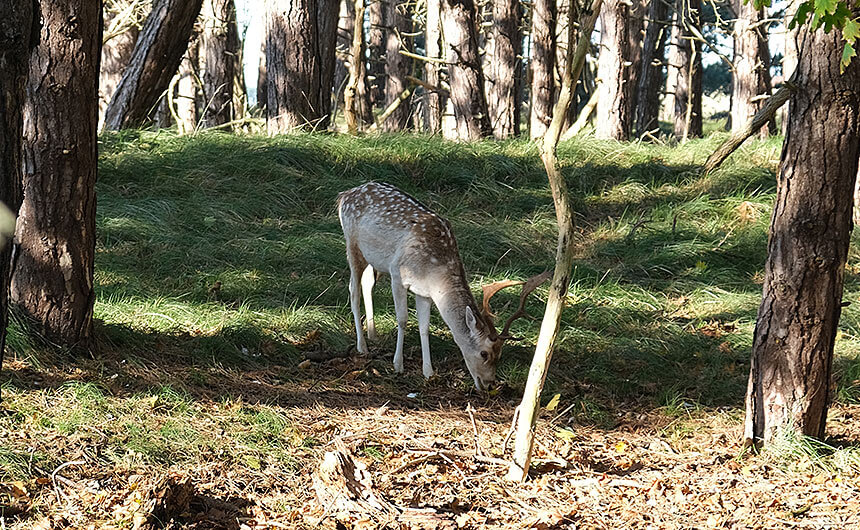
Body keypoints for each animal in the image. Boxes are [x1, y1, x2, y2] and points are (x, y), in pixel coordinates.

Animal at [338, 182, 552, 388]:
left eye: (500, 355)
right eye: (484, 353)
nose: (489, 384)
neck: (433, 271)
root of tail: (345, 195)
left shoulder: (423, 292)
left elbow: (424, 326)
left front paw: (428, 372)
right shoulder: (397, 273)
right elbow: (403, 319)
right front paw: (398, 365)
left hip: (373, 259)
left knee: (367, 283)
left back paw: (373, 334)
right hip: (352, 244)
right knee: (353, 290)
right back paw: (362, 346)